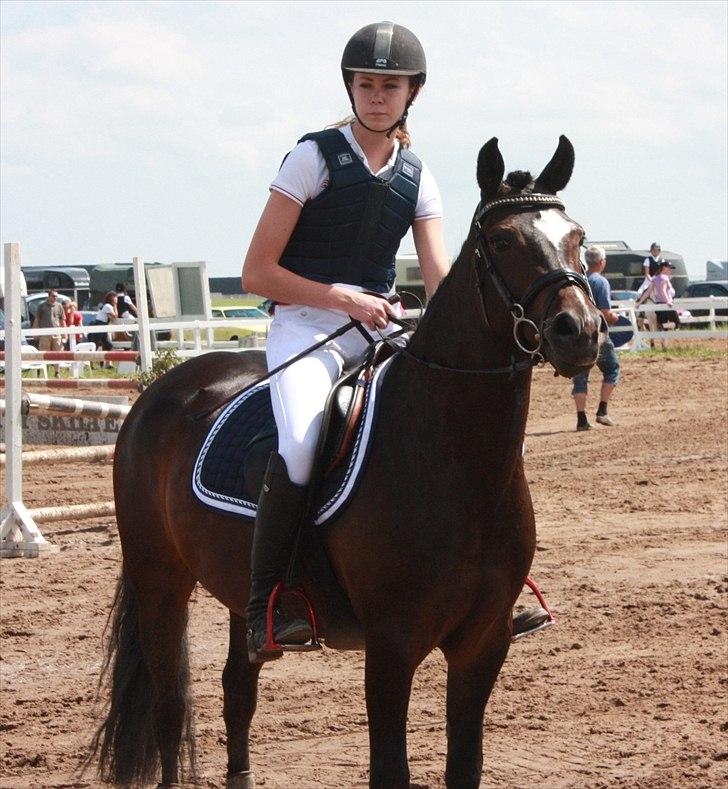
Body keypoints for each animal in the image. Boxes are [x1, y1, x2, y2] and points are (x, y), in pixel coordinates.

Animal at [89, 136, 603, 788]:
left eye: (577, 236)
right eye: (504, 240)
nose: (579, 331)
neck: (453, 461)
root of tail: (158, 391)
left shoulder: (483, 644)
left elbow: (465, 765)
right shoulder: (391, 646)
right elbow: (390, 768)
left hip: (237, 593)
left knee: (238, 689)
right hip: (160, 578)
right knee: (167, 703)